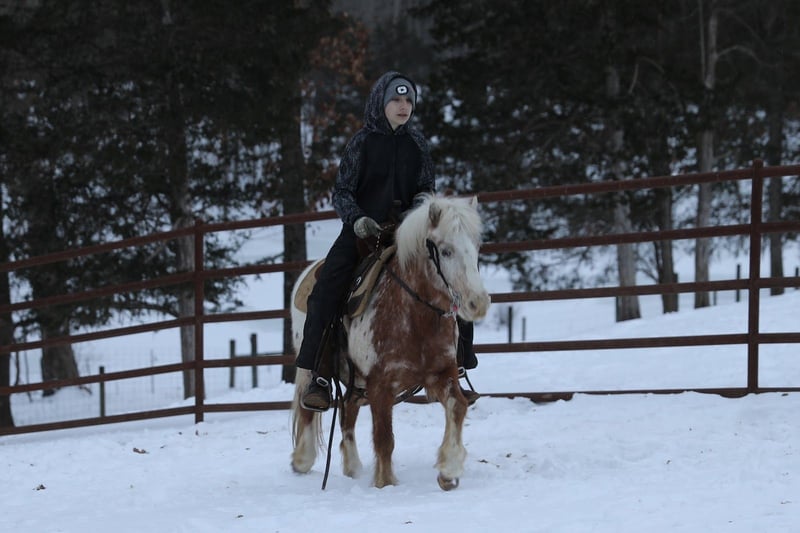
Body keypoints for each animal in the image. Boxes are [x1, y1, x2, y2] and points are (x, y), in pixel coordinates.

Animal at [290, 194, 491, 490]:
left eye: (476, 247)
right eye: (445, 251)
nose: (478, 303)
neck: (415, 315)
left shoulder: (442, 374)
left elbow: (457, 407)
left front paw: (449, 469)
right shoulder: (380, 386)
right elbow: (384, 439)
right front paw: (385, 483)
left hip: (356, 381)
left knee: (348, 410)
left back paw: (352, 466)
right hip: (310, 366)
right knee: (308, 406)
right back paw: (302, 460)